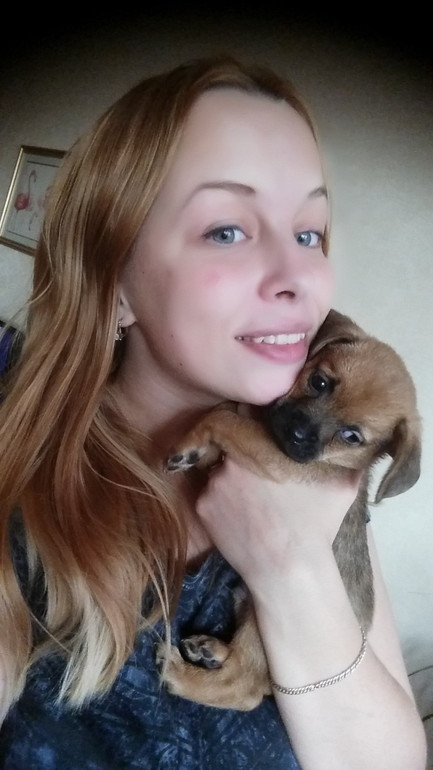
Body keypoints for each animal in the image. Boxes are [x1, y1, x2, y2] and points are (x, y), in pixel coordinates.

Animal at [156, 309, 422, 710]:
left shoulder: (280, 462)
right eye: (319, 381)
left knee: (243, 686)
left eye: (352, 437)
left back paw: (179, 674)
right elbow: (225, 410)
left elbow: (222, 418)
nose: (296, 433)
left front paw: (189, 443)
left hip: (266, 619)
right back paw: (210, 650)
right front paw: (199, 451)